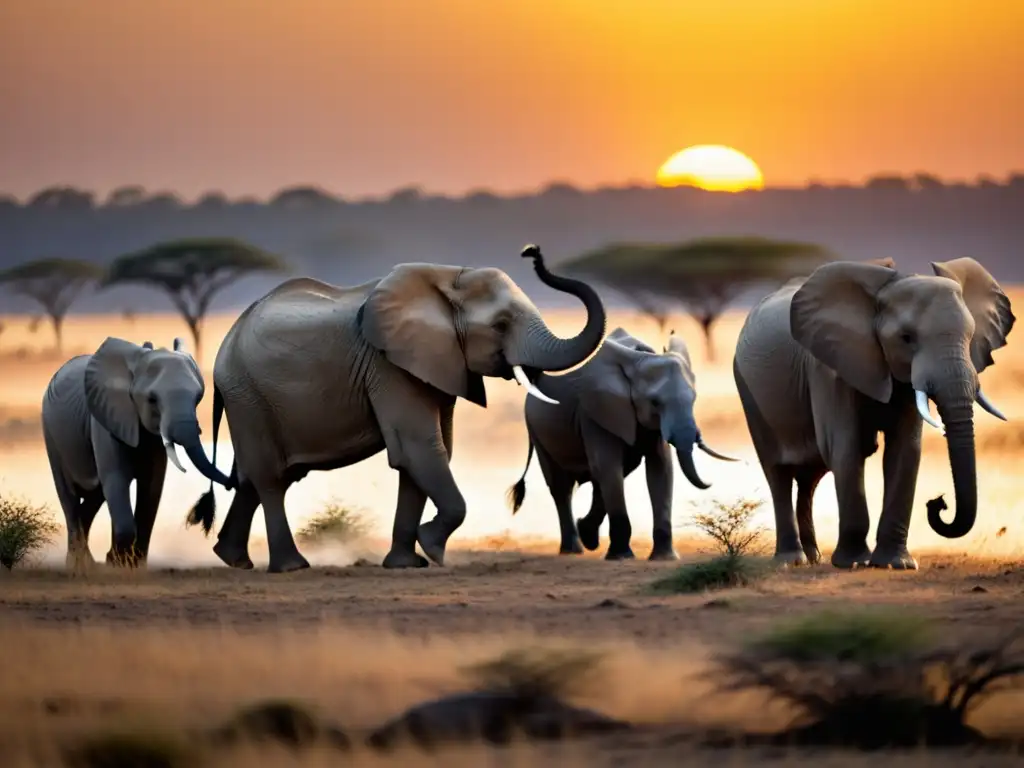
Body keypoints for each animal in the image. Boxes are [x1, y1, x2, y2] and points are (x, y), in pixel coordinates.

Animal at [42, 339, 232, 569]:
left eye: (198, 398)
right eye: (152, 399)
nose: (232, 483)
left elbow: (152, 487)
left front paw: (130, 564)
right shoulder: (106, 420)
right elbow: (116, 478)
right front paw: (116, 563)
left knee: (95, 496)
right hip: (51, 434)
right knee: (69, 495)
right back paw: (79, 563)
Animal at [186, 244, 606, 573]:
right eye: (500, 326)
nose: (531, 251)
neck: (447, 280)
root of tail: (226, 343)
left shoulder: (436, 364)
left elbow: (429, 452)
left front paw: (408, 563)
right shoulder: (389, 365)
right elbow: (421, 447)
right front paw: (431, 546)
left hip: (251, 397)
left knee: (254, 477)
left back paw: (233, 559)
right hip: (247, 393)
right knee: (271, 478)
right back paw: (291, 566)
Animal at [505, 325, 737, 561]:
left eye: (693, 399)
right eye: (655, 402)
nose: (710, 483)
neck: (641, 360)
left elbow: (660, 469)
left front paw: (664, 558)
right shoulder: (595, 412)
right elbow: (609, 466)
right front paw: (621, 557)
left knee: (605, 479)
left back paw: (587, 535)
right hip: (536, 428)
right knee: (562, 487)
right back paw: (572, 550)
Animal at [733, 259, 1011, 573]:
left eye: (970, 335)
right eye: (906, 338)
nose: (938, 503)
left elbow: (905, 451)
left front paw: (896, 564)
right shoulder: (829, 367)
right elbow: (845, 449)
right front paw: (853, 562)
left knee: (809, 477)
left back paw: (813, 558)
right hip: (747, 389)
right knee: (777, 472)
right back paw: (791, 561)